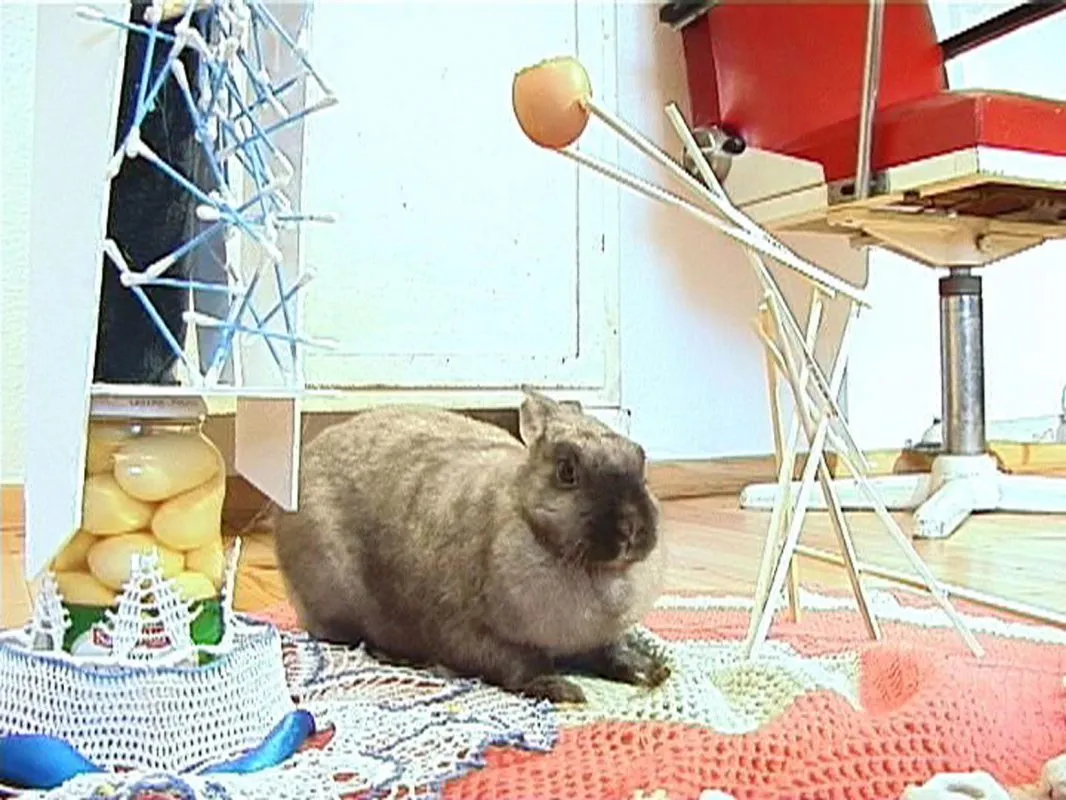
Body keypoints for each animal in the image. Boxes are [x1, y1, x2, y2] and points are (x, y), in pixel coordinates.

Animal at [272, 388, 670, 703]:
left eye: (641, 459)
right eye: (567, 471)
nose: (632, 528)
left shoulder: (601, 638)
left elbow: (612, 651)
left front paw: (650, 670)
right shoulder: (474, 635)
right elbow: (521, 665)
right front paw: (561, 688)